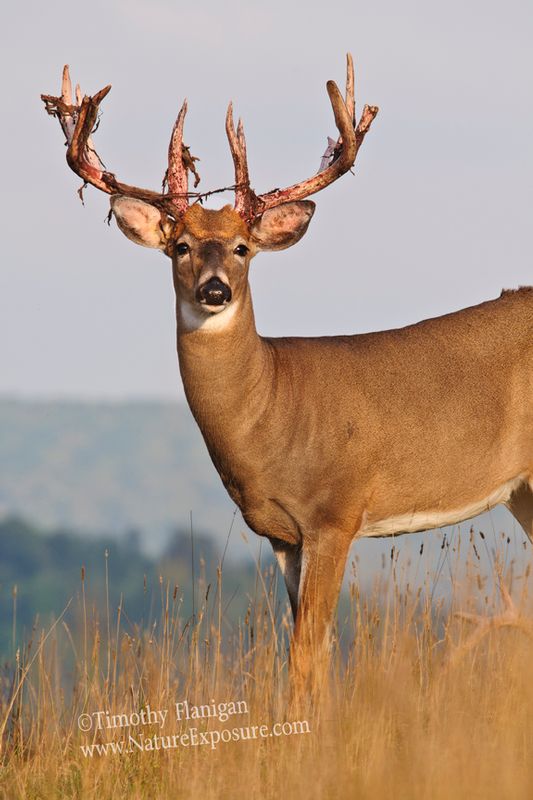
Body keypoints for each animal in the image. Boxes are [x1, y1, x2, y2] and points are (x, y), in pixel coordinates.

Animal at [42, 55, 533, 692]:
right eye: (180, 246)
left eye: (242, 247)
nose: (215, 290)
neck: (272, 412)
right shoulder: (283, 535)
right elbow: (304, 654)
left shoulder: (334, 512)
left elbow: (306, 652)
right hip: (523, 490)